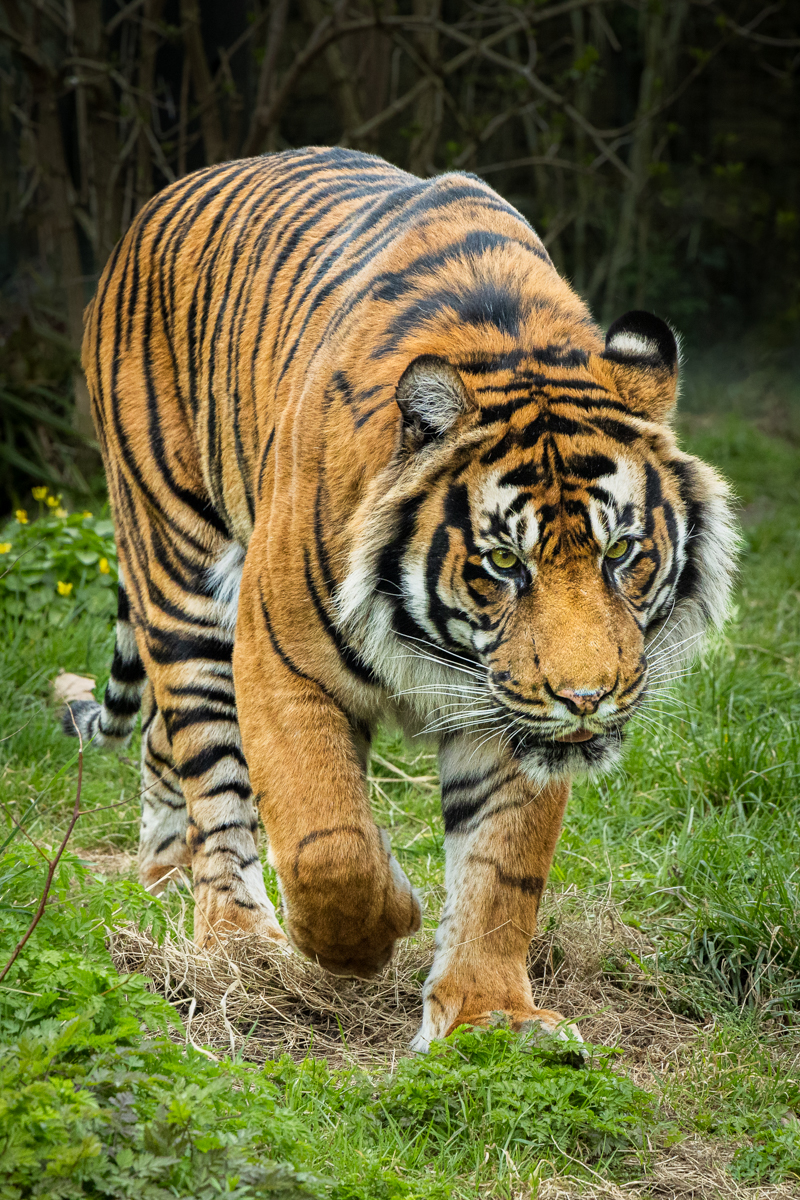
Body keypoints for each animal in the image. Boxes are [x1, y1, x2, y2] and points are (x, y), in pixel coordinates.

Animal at [66, 146, 737, 1052]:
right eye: (503, 561)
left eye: (621, 552)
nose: (585, 698)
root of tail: (159, 203)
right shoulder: (280, 664)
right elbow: (328, 844)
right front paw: (376, 931)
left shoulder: (514, 712)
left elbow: (502, 869)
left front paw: (489, 1017)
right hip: (179, 571)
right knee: (208, 758)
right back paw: (236, 942)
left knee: (164, 742)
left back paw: (166, 877)